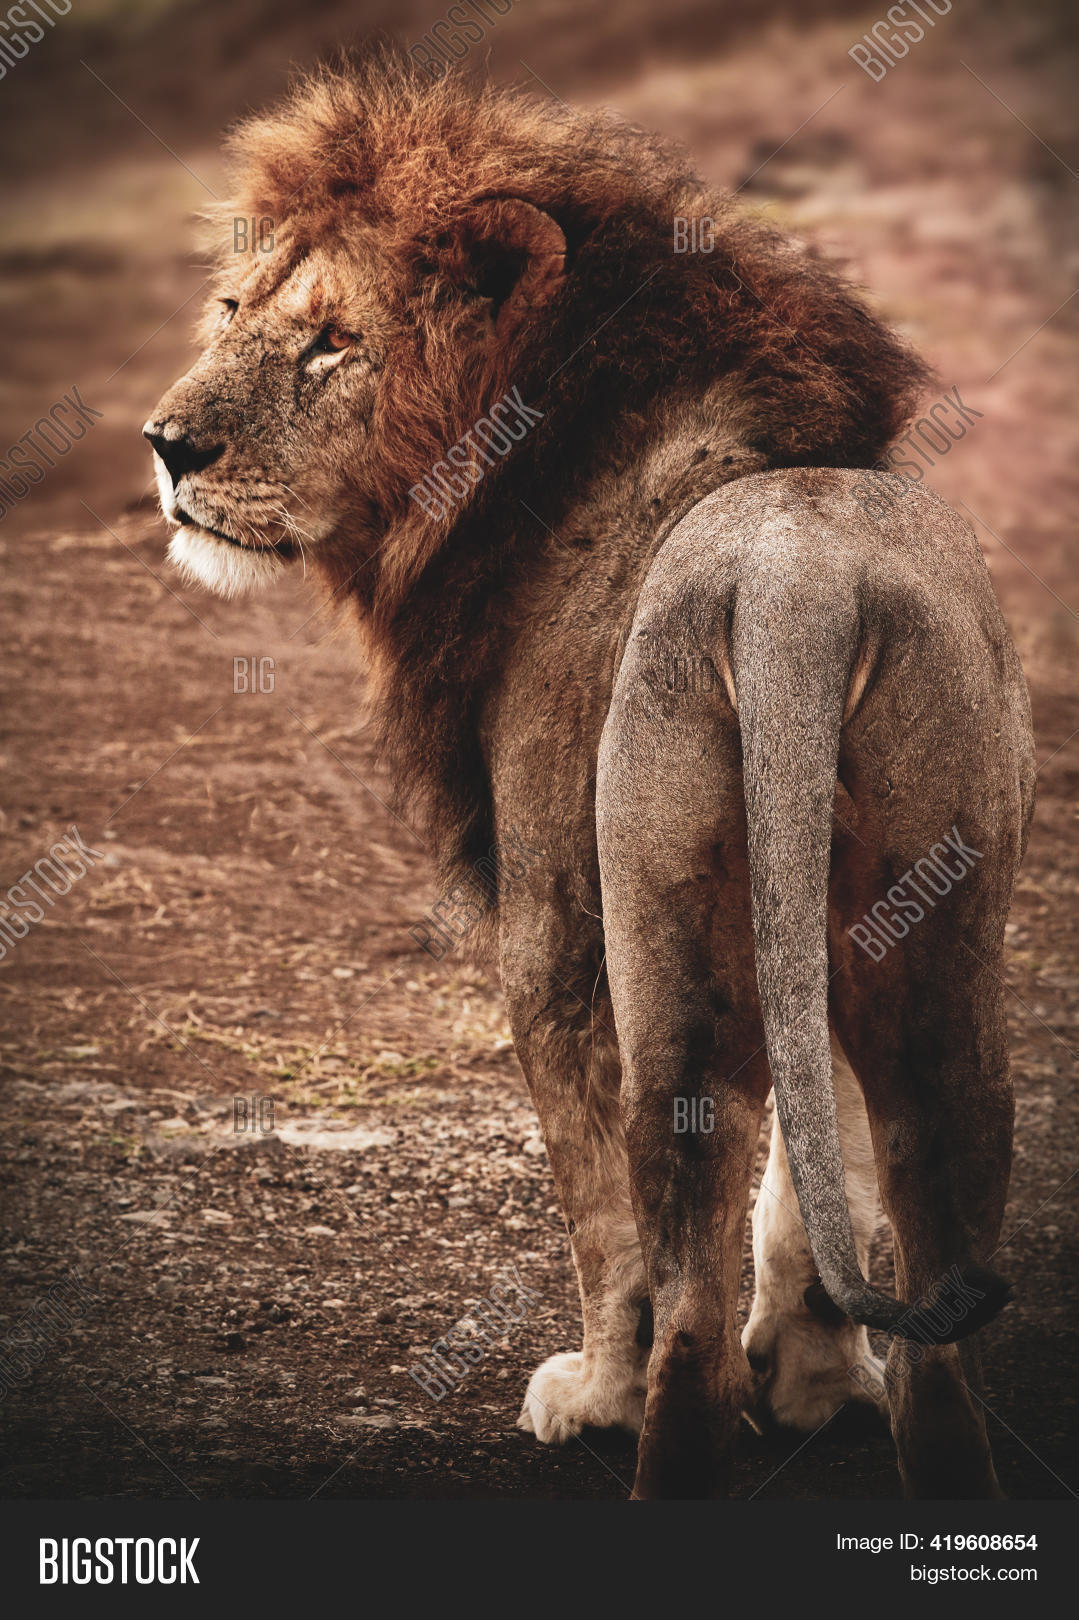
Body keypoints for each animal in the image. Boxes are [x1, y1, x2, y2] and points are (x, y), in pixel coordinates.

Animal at [145, 47, 1036, 1499]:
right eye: (231, 308)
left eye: (332, 341)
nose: (165, 446)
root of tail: (797, 587)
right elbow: (816, 1160)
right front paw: (814, 1379)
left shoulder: (552, 921)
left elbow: (600, 1209)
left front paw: (591, 1395)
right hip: (936, 931)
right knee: (931, 1240)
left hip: (661, 920)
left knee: (683, 1291)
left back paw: (655, 1437)